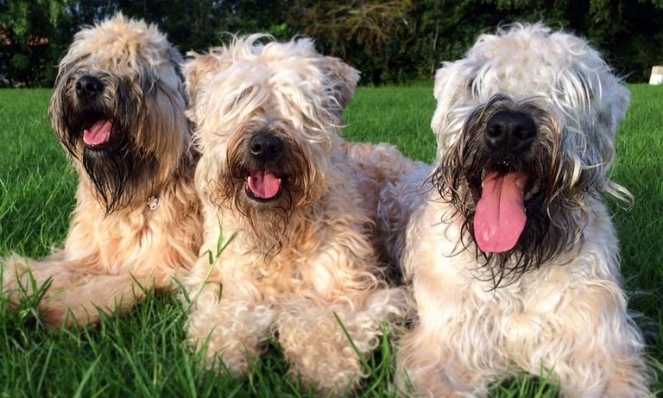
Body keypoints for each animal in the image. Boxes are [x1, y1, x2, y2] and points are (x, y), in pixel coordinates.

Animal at [0, 14, 202, 326]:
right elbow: (58, 270)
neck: (131, 196)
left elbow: (100, 289)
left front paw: (49, 306)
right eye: (84, 58)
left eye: (134, 66)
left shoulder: (161, 268)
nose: (86, 84)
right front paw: (17, 279)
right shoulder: (86, 253)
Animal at [183, 36, 410, 394]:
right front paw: (221, 365)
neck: (279, 234)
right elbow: (225, 318)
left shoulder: (353, 293)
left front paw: (322, 375)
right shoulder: (223, 283)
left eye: (299, 105)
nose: (265, 145)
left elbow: (325, 326)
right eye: (240, 98)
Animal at [382, 24, 652, 398]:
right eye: (475, 81)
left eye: (566, 85)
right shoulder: (444, 346)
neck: (513, 265)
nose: (509, 127)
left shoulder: (600, 344)